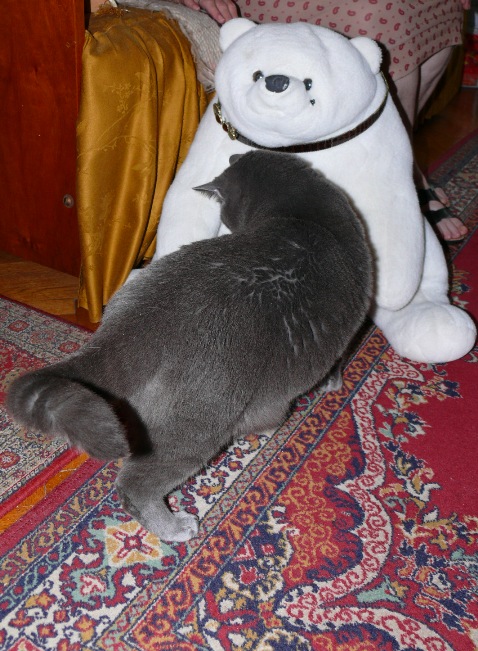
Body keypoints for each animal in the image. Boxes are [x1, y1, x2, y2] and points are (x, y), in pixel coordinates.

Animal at [6, 151, 373, 542]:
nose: (225, 225)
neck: (300, 210)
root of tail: (143, 316)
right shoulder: (351, 324)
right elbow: (337, 357)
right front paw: (332, 382)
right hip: (200, 417)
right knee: (139, 481)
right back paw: (174, 527)